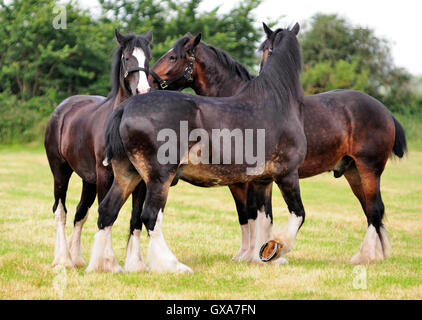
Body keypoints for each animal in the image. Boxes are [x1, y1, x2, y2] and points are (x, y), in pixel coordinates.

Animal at [44, 30, 153, 272]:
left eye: (148, 58)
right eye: (127, 58)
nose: (142, 91)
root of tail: (62, 109)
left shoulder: (139, 180)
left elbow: (135, 218)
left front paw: (136, 264)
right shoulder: (105, 175)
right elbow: (107, 214)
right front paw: (108, 263)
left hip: (88, 180)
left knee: (80, 213)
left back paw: (75, 257)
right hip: (60, 173)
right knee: (60, 211)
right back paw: (63, 259)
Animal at [86, 23, 306, 272]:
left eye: (173, 57)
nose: (150, 83)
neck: (276, 101)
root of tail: (125, 107)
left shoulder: (262, 180)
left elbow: (263, 218)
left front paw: (261, 255)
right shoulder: (287, 174)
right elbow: (298, 215)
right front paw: (276, 248)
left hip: (127, 175)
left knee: (107, 211)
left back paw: (104, 265)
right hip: (159, 178)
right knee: (150, 216)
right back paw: (172, 265)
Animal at [148, 24, 406, 264]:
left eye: (173, 57)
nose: (150, 80)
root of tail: (384, 111)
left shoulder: (252, 181)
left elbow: (254, 215)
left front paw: (257, 253)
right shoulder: (247, 181)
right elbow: (250, 215)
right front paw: (250, 254)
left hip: (369, 169)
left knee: (374, 209)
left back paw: (367, 256)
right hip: (353, 172)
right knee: (372, 211)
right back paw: (374, 255)